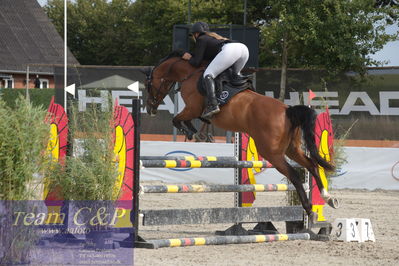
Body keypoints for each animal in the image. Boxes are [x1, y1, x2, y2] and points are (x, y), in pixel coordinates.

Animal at [144, 51, 338, 221]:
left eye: (148, 85)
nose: (150, 109)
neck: (190, 73)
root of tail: (287, 110)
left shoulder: (192, 108)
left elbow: (176, 119)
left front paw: (190, 132)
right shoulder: (195, 112)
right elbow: (190, 121)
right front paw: (195, 132)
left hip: (272, 153)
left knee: (295, 175)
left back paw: (310, 210)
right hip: (292, 148)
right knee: (312, 165)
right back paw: (328, 198)